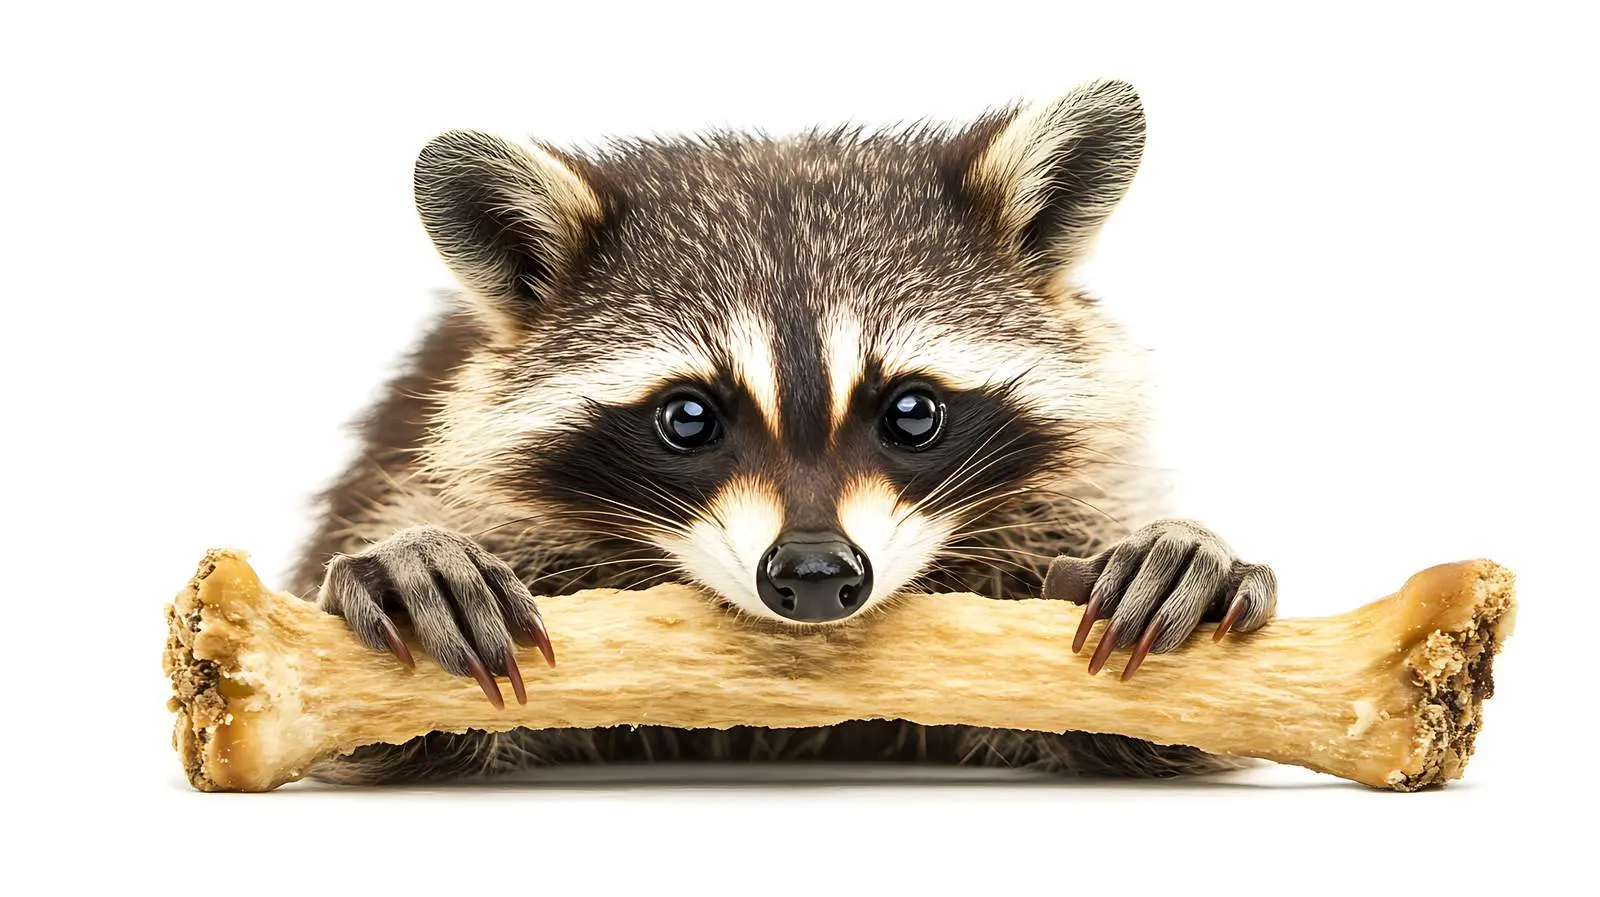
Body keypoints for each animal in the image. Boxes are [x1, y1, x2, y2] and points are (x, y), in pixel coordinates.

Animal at [292, 79, 1278, 784]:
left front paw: (1180, 548)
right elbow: (368, 724)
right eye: (688, 418)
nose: (812, 572)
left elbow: (1164, 723)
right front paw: (413, 555)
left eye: (912, 411)